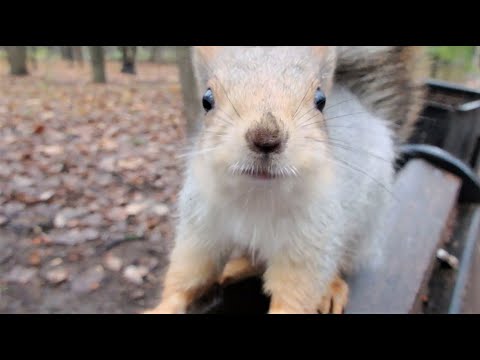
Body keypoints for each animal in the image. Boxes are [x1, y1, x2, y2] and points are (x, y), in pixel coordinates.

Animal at [145, 46, 428, 314]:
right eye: (207, 99)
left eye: (320, 100)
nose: (266, 137)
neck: (257, 194)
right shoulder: (201, 225)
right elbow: (189, 272)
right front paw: (163, 307)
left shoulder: (312, 239)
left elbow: (297, 290)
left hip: (361, 230)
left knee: (340, 263)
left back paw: (332, 288)